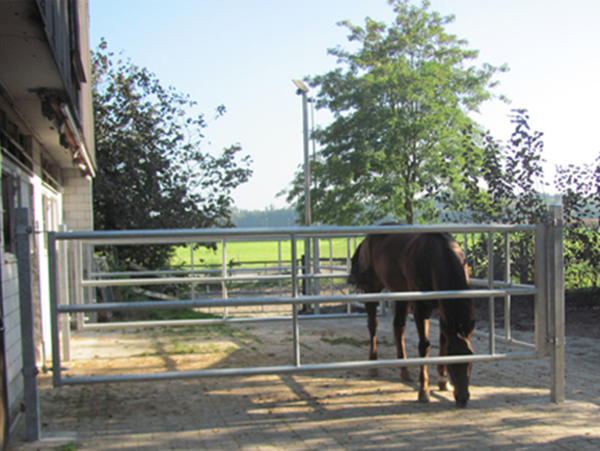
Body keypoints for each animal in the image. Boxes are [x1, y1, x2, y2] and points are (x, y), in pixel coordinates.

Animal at [347, 231, 475, 407]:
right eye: (451, 363)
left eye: (471, 360)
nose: (462, 399)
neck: (438, 256)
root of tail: (367, 239)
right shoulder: (421, 309)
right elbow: (424, 346)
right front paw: (424, 390)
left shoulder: (442, 310)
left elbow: (443, 341)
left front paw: (442, 380)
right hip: (371, 289)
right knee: (373, 325)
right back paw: (373, 364)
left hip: (401, 295)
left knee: (398, 327)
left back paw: (404, 369)